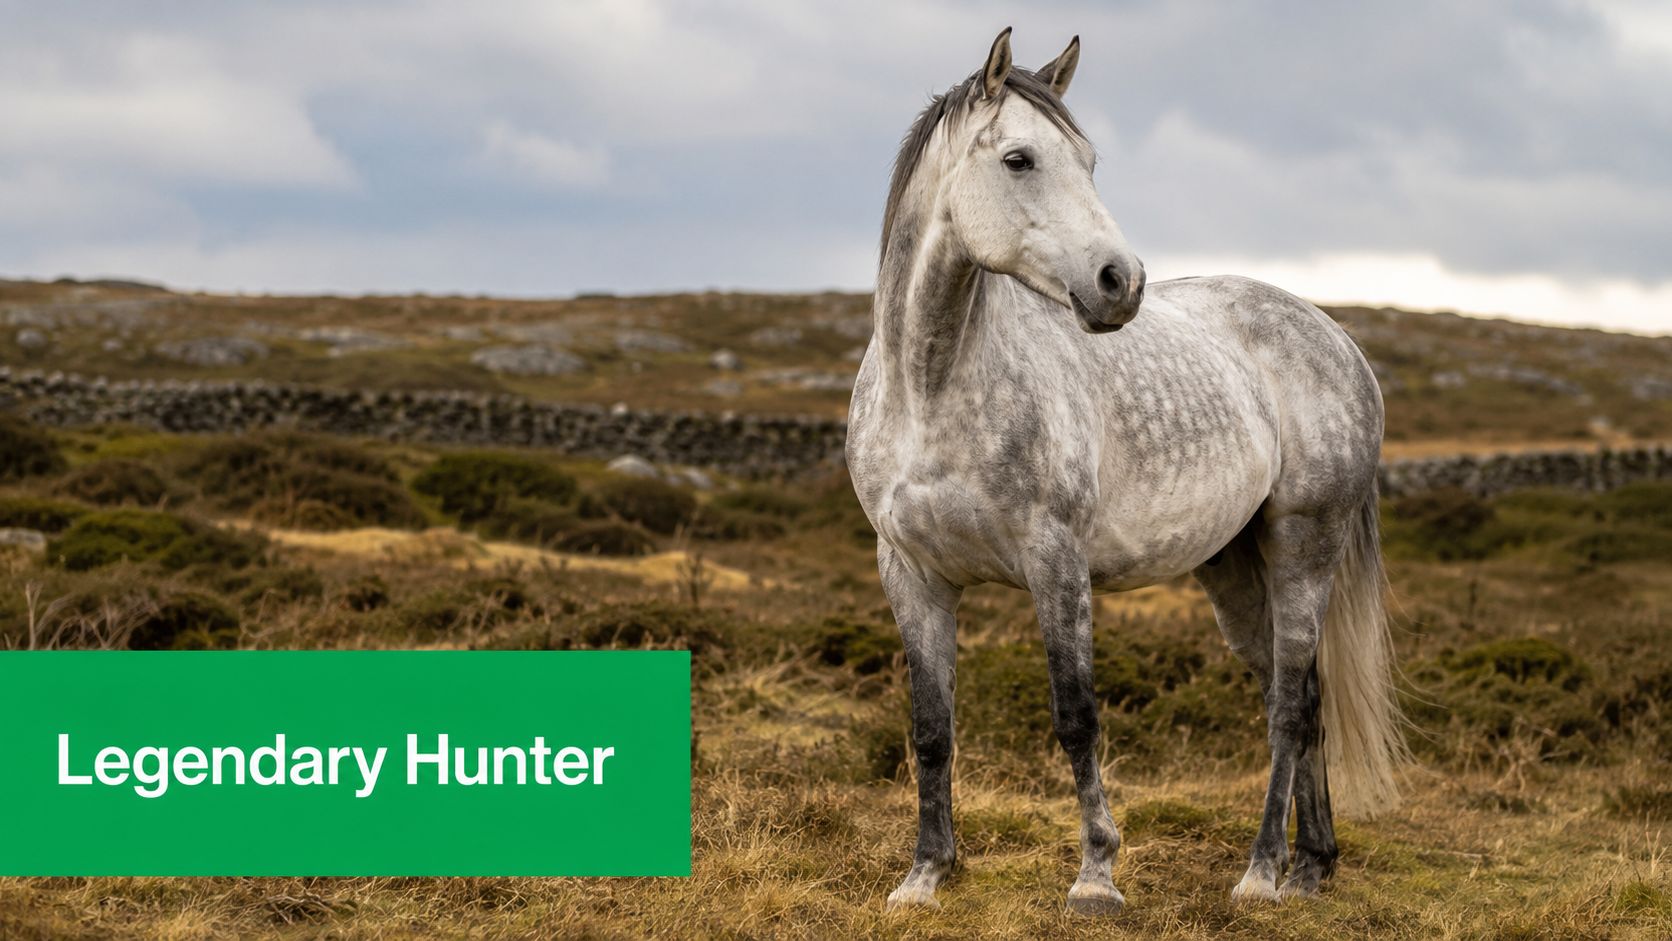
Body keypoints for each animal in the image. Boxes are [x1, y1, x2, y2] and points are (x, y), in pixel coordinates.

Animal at [845, 28, 1406, 914]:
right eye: (1019, 159)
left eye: (1090, 160)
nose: (1121, 282)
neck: (930, 386)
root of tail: (1337, 338)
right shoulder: (912, 572)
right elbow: (930, 727)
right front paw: (925, 874)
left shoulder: (1056, 562)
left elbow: (1076, 715)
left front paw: (1096, 873)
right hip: (1233, 566)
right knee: (1301, 696)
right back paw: (1310, 864)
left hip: (1303, 545)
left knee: (1288, 705)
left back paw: (1260, 871)